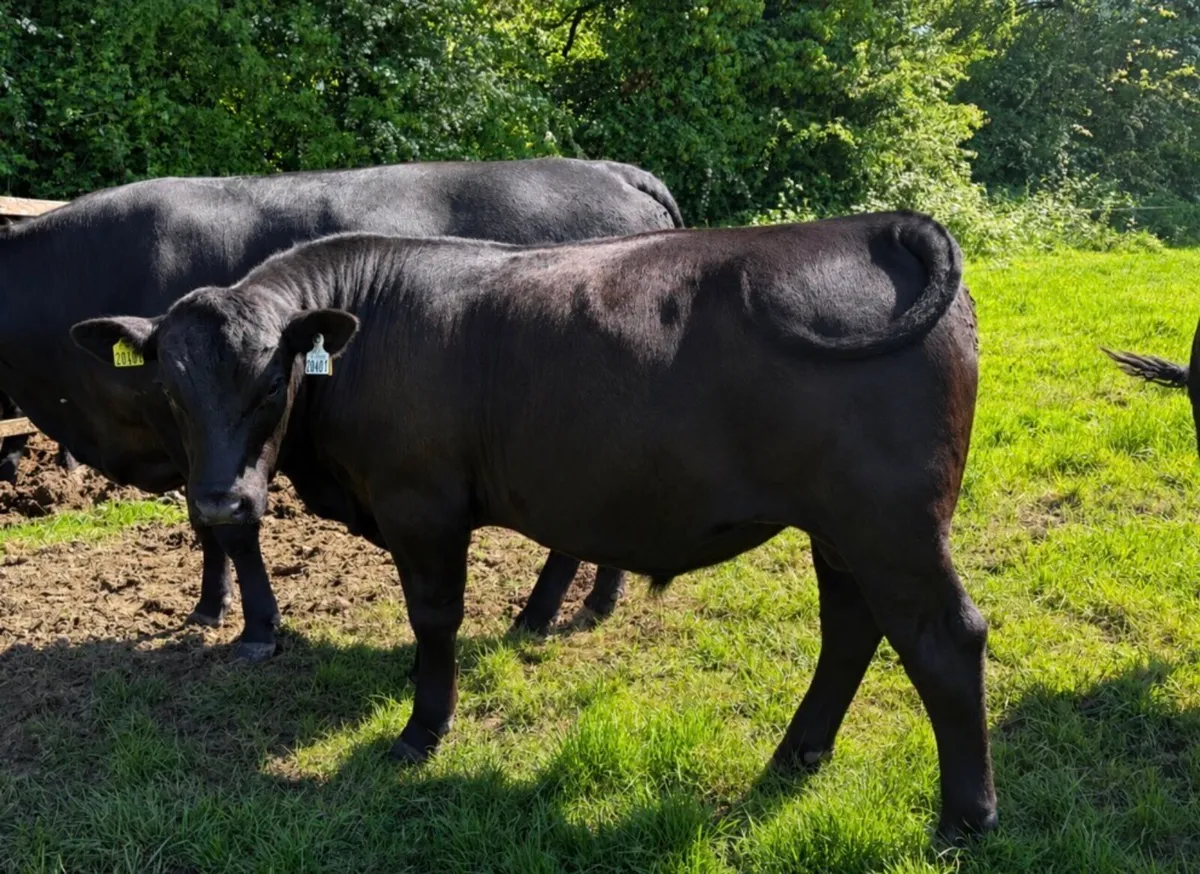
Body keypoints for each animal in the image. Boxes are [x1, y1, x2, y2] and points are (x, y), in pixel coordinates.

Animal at [0, 157, 684, 657]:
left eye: (273, 384)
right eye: (168, 385)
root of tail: (613, 171)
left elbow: (232, 528)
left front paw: (255, 626)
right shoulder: (191, 438)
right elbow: (206, 523)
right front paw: (210, 606)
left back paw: (544, 612)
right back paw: (598, 600)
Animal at [72, 211, 995, 841]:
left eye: (272, 382)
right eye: (169, 392)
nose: (220, 504)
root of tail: (874, 224)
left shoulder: (422, 505)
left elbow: (434, 618)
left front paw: (422, 731)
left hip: (892, 524)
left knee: (945, 639)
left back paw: (963, 818)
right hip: (841, 529)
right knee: (851, 629)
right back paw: (796, 755)